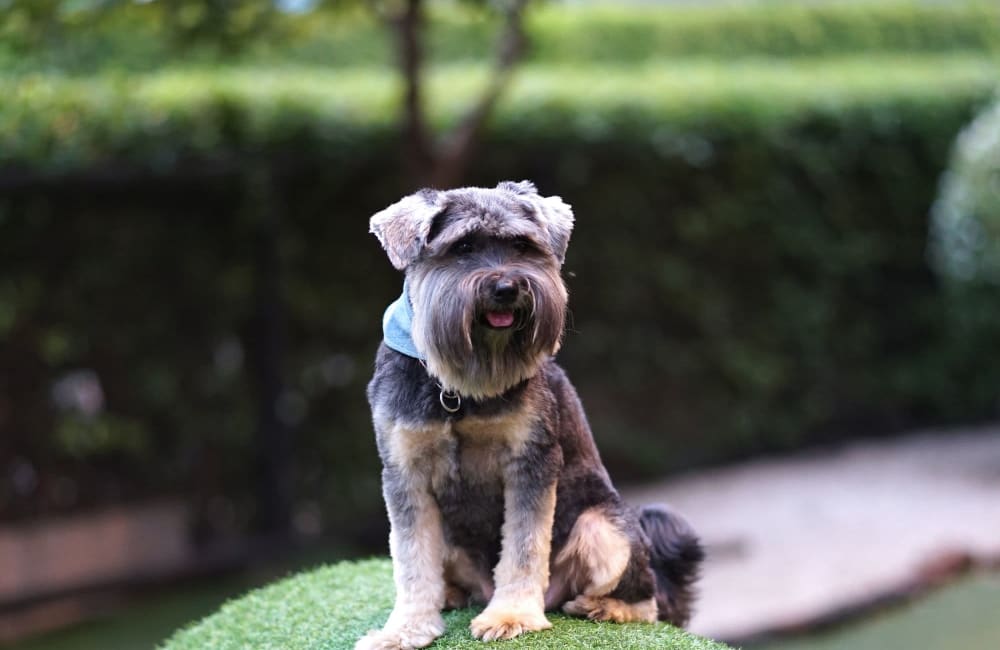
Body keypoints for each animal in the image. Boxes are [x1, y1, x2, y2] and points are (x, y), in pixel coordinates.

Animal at [356, 178, 700, 648]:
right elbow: (411, 560)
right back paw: (451, 595)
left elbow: (524, 545)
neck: (458, 388)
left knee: (645, 603)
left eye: (522, 245)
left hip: (605, 528)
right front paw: (405, 628)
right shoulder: (404, 472)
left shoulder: (530, 463)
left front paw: (512, 615)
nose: (506, 287)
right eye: (462, 246)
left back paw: (600, 606)